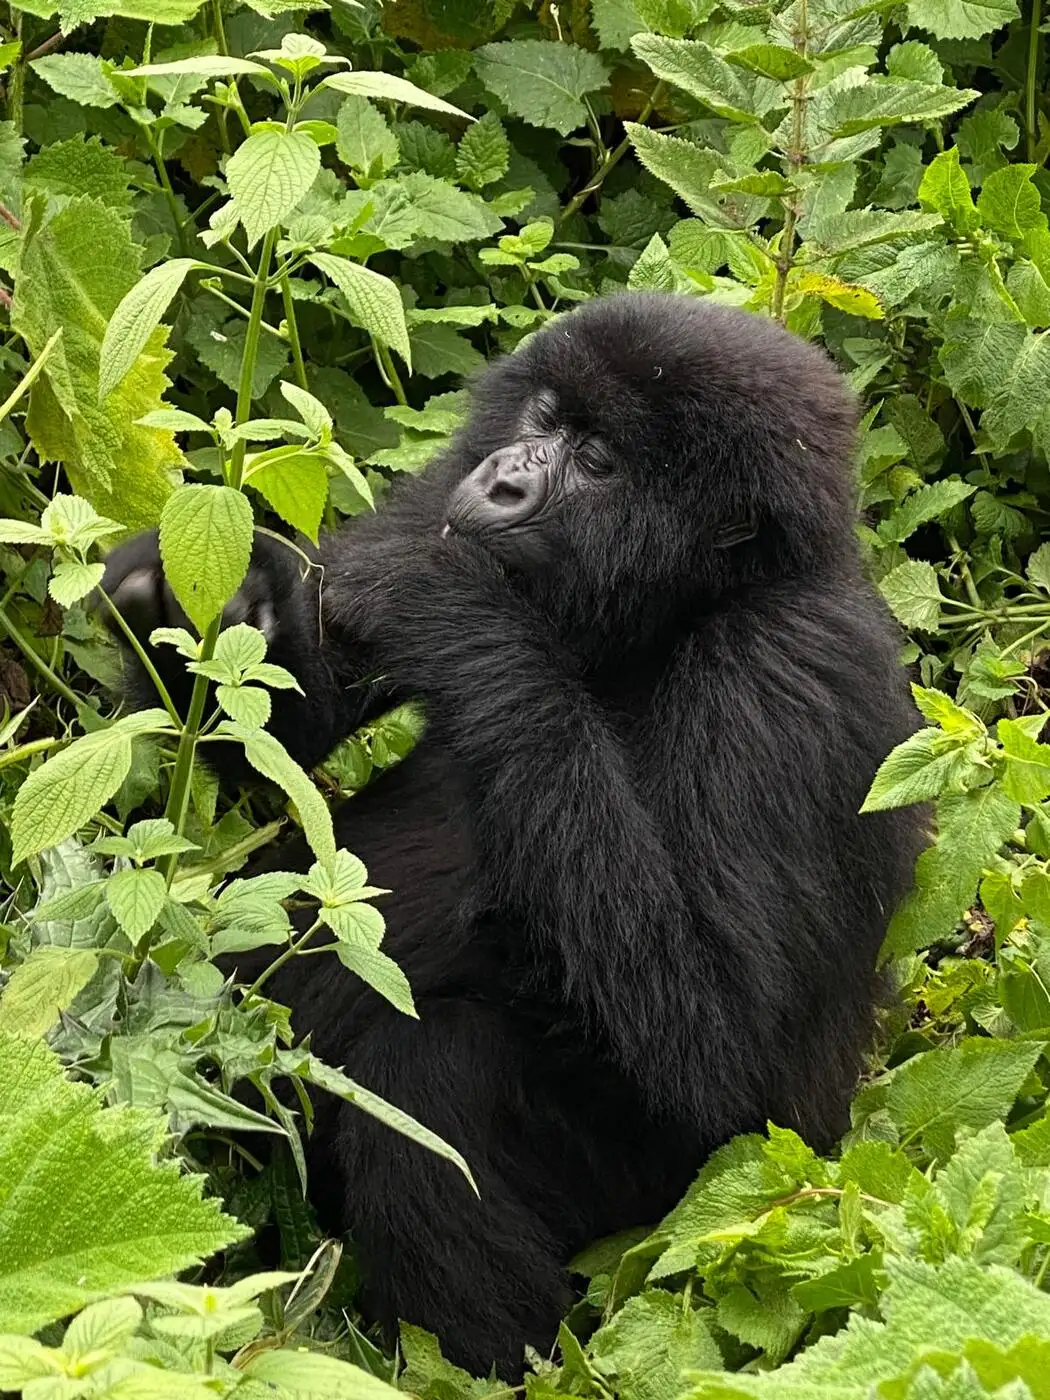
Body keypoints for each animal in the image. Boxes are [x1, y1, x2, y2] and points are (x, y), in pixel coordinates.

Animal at [102, 295, 924, 1377]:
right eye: (545, 417)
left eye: (601, 461)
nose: (502, 478)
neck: (684, 609)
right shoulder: (438, 496)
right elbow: (286, 713)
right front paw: (187, 591)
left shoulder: (789, 674)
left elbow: (717, 1047)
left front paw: (453, 608)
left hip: (689, 1207)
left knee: (436, 1076)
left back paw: (490, 1368)